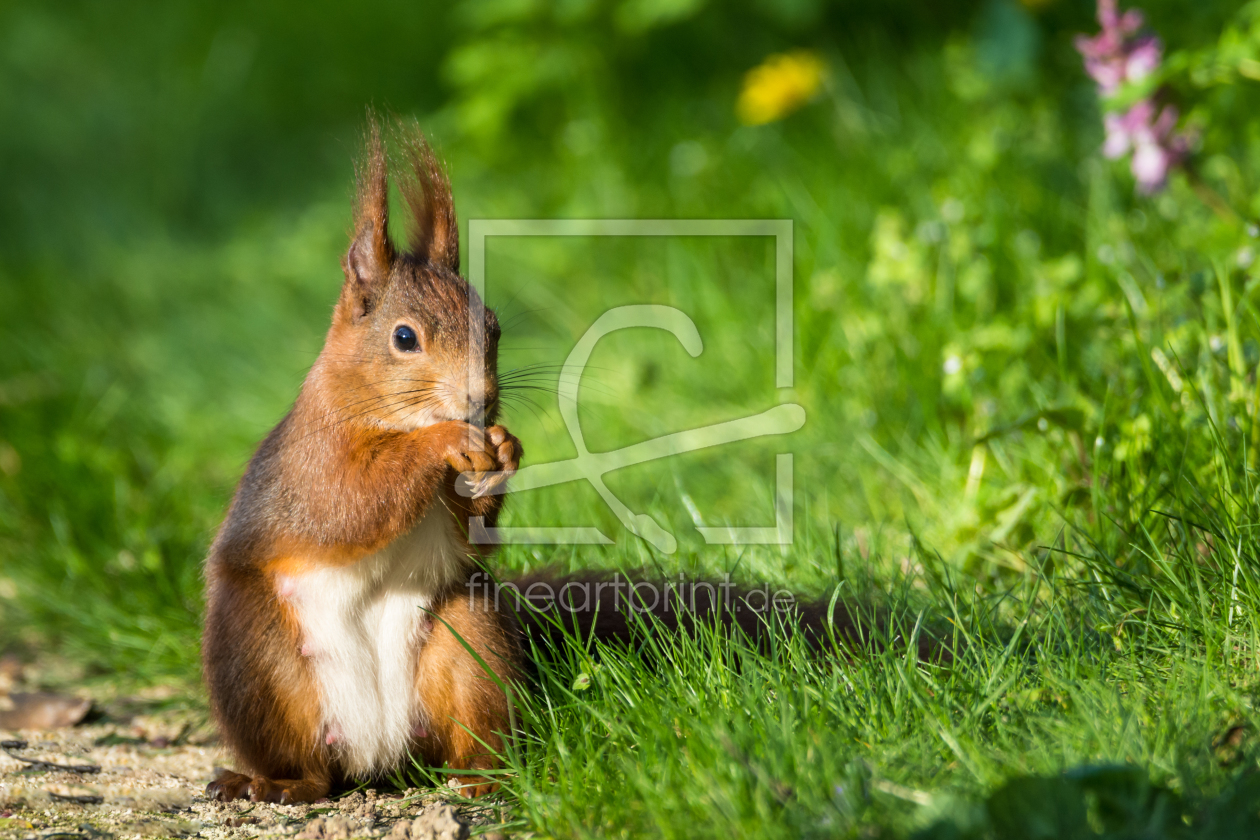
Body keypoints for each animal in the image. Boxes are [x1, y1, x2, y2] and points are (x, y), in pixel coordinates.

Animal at [205, 123, 526, 800]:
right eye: (404, 338)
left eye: (494, 326)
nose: (480, 401)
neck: (391, 420)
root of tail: (376, 751)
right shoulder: (312, 460)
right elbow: (349, 505)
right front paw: (443, 442)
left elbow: (474, 537)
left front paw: (504, 449)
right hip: (260, 660)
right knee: (308, 764)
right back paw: (277, 783)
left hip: (469, 635)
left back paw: (481, 778)